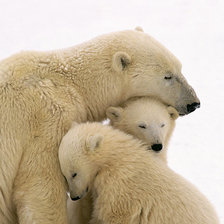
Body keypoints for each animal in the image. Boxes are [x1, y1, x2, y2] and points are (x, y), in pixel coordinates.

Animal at [0, 28, 200, 224]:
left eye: (180, 67)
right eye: (167, 76)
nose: (194, 103)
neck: (74, 83)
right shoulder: (47, 119)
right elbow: (41, 188)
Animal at [59, 123, 219, 224]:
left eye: (74, 173)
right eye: (65, 175)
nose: (74, 196)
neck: (116, 158)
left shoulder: (120, 188)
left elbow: (112, 215)